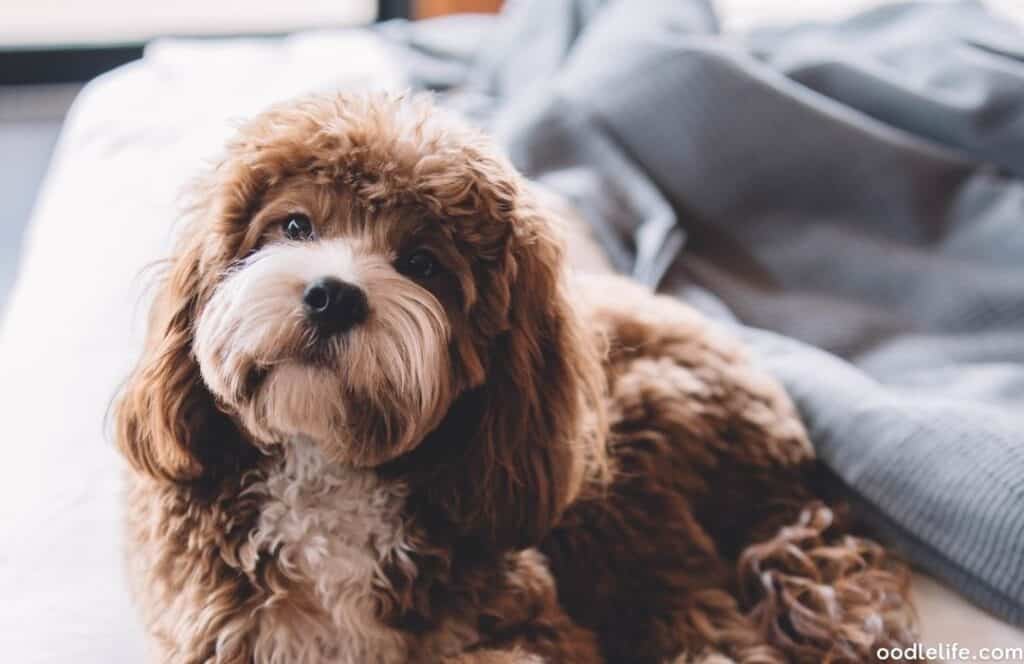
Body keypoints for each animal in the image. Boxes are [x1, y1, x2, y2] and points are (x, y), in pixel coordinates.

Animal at [116, 90, 917, 659]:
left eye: (423, 264)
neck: (328, 469)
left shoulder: (522, 618)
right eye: (293, 226)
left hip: (623, 477)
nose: (334, 295)